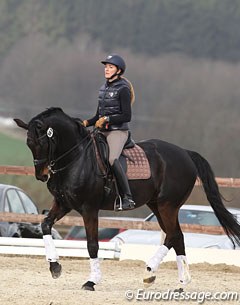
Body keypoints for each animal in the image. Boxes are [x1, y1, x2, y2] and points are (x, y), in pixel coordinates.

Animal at [14, 107, 240, 290]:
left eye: (41, 142)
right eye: (28, 143)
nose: (42, 175)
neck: (76, 158)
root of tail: (185, 153)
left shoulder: (89, 209)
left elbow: (92, 244)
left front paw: (91, 281)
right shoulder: (64, 204)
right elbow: (45, 225)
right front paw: (55, 266)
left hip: (168, 205)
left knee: (174, 235)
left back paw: (160, 274)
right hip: (157, 206)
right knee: (176, 236)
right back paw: (171, 279)